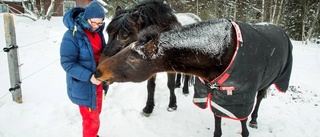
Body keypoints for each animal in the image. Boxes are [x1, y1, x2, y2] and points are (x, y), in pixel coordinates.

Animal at [94, 18, 292, 137]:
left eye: (132, 58)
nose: (98, 71)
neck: (220, 52)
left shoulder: (241, 95)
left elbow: (242, 122)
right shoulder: (218, 93)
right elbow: (217, 121)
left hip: (266, 83)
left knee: (259, 100)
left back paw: (254, 120)